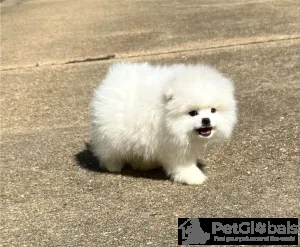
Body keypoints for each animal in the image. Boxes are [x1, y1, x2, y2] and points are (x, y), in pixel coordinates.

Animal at [89, 62, 237, 184]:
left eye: (213, 110)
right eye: (193, 113)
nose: (206, 120)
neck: (168, 117)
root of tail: (113, 77)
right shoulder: (173, 146)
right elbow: (183, 164)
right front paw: (194, 177)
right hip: (111, 133)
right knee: (109, 150)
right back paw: (113, 166)